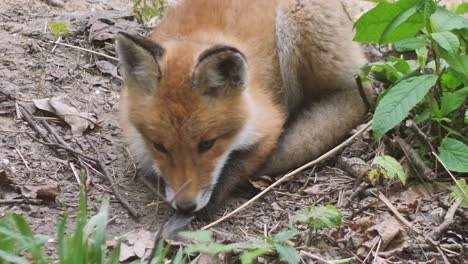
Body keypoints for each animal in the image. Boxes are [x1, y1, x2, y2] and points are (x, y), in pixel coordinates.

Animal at [116, 0, 370, 214]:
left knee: (358, 95)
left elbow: (242, 164)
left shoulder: (269, 122)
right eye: (159, 146)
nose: (186, 207)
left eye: (207, 144)